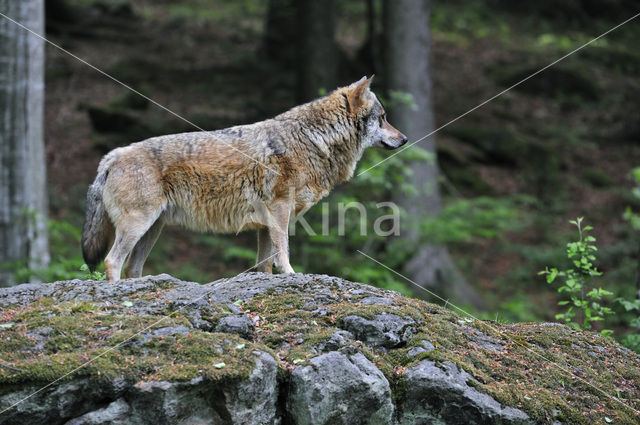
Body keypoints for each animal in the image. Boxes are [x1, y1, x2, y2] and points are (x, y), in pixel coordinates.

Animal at [82, 76, 408, 282]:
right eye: (383, 118)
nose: (404, 139)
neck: (313, 139)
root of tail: (111, 156)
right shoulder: (279, 211)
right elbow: (283, 251)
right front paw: (291, 275)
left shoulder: (265, 224)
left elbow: (263, 266)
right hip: (139, 225)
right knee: (112, 261)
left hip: (152, 230)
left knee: (131, 268)